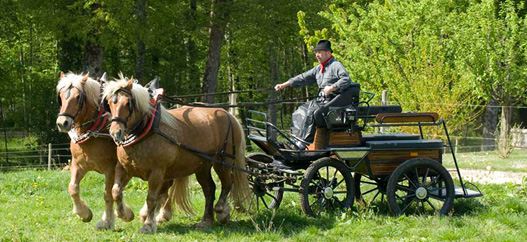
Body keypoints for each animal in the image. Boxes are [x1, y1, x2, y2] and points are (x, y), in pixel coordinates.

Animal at [104, 77, 252, 233]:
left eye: (128, 103)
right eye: (109, 103)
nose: (116, 133)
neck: (145, 132)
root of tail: (228, 114)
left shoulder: (157, 172)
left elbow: (151, 198)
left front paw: (148, 224)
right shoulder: (123, 168)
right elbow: (115, 191)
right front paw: (125, 214)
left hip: (223, 161)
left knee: (227, 184)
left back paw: (221, 211)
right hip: (202, 166)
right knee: (209, 189)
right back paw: (206, 221)